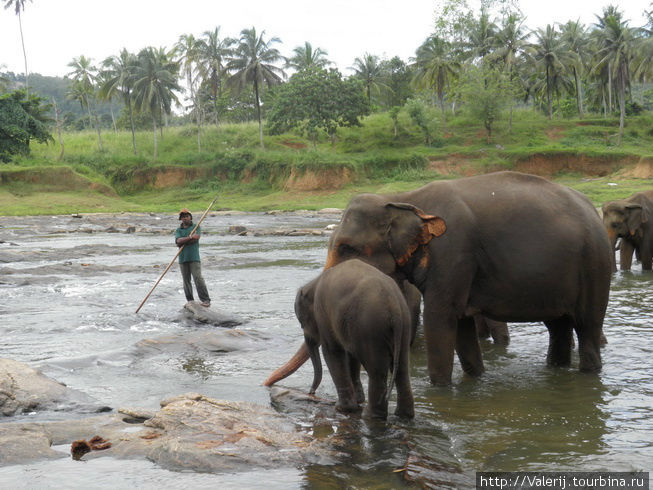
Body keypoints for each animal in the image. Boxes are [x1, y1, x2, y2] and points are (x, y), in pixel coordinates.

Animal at [264, 258, 412, 420]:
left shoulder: (323, 312)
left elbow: (331, 351)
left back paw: (370, 416)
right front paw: (358, 400)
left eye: (302, 322)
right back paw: (403, 415)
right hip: (403, 326)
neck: (314, 282)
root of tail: (394, 309)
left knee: (377, 372)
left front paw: (342, 408)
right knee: (402, 369)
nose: (311, 392)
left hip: (371, 328)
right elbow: (350, 355)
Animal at [266, 172, 612, 386]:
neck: (403, 198)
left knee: (587, 326)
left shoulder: (453, 253)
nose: (266, 385)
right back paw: (556, 370)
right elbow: (462, 325)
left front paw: (440, 390)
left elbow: (441, 319)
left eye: (347, 248)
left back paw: (588, 373)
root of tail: (592, 210)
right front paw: (474, 380)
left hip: (595, 265)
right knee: (558, 327)